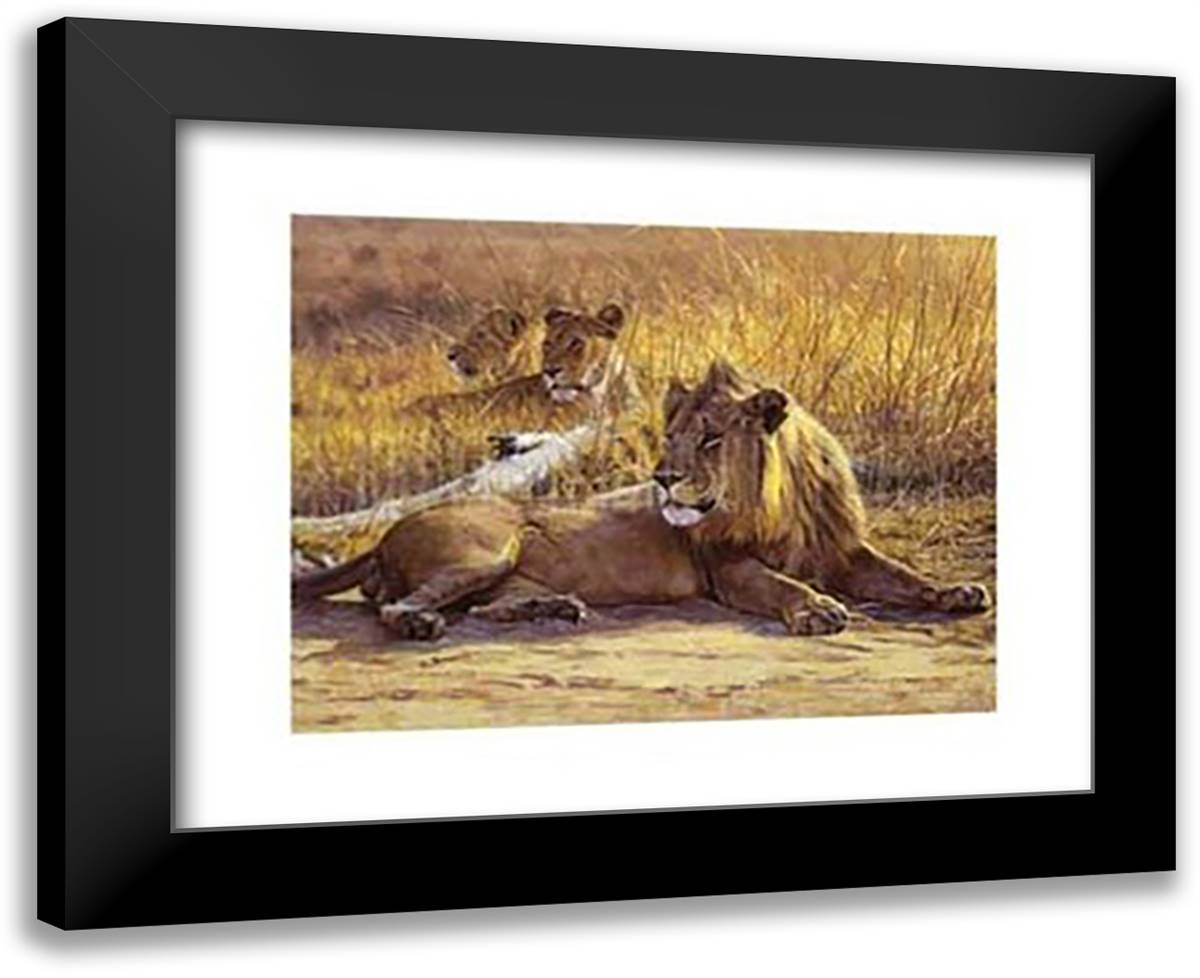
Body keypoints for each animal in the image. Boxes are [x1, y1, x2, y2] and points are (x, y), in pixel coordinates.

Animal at [293, 360, 987, 639]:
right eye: (669, 437)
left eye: (710, 438)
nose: (661, 477)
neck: (779, 503)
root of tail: (385, 536)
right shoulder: (726, 567)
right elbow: (780, 585)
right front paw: (816, 610)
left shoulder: (842, 550)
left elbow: (902, 575)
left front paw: (957, 592)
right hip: (485, 551)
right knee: (400, 607)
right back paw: (421, 625)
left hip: (499, 574)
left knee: (482, 608)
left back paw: (553, 608)